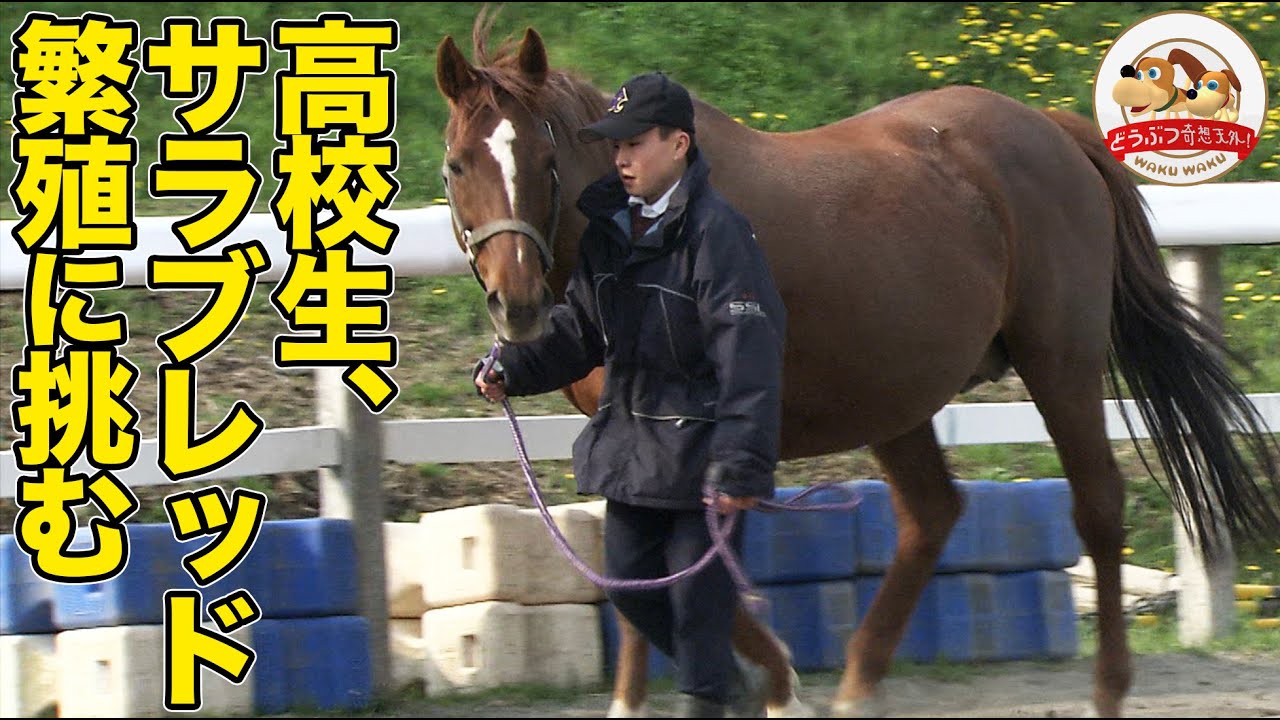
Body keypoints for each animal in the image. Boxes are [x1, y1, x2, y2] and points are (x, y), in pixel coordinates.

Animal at [432, 17, 1280, 718]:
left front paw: (773, 684)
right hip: (896, 395)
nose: (517, 304)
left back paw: (1106, 690)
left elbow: (693, 571)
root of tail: (1051, 127)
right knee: (932, 514)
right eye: (456, 165)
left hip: (1059, 362)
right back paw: (858, 685)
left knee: (1096, 507)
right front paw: (651, 698)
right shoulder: (633, 441)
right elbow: (635, 570)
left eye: (545, 159)